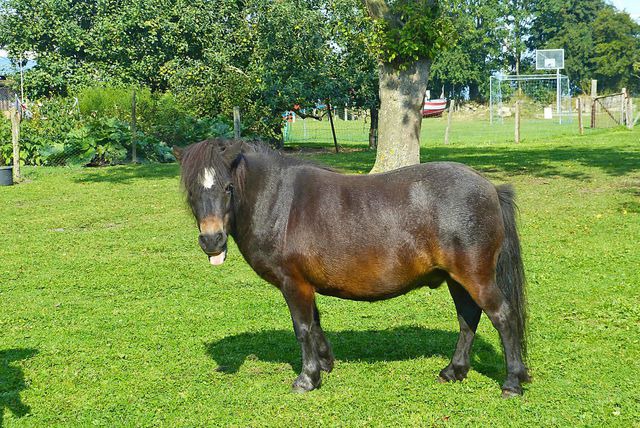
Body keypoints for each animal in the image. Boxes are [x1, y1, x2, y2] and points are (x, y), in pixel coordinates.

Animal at [175, 139, 528, 396]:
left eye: (228, 187)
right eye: (192, 191)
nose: (212, 240)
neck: (279, 203)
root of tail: (491, 187)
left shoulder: (293, 283)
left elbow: (302, 328)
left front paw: (307, 379)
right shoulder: (305, 284)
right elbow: (315, 324)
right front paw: (324, 364)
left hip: (476, 277)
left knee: (502, 316)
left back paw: (512, 382)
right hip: (457, 279)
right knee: (468, 320)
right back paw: (454, 371)